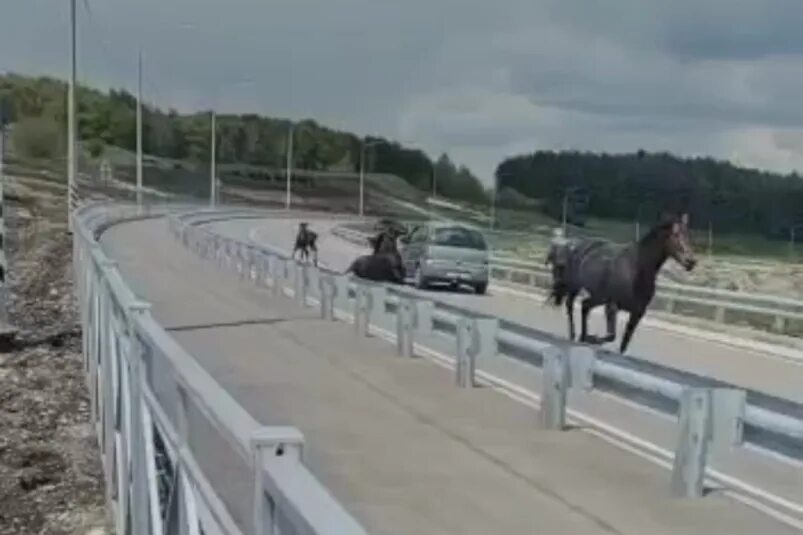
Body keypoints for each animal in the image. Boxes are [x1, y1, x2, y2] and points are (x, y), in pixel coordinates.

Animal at [548, 211, 700, 354]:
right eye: (675, 235)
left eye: (688, 235)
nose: (691, 261)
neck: (636, 270)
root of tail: (573, 245)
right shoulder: (612, 306)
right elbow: (611, 336)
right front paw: (593, 339)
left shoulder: (637, 313)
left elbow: (624, 344)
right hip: (576, 287)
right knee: (570, 305)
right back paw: (574, 335)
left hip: (599, 296)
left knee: (585, 306)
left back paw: (582, 336)